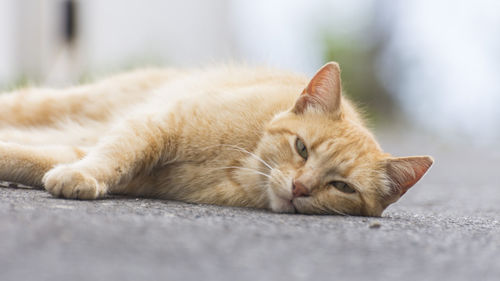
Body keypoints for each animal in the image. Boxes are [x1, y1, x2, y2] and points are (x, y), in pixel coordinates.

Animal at [0, 61, 430, 214]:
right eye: (302, 148)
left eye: (342, 186)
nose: (300, 188)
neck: (238, 165)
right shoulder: (154, 125)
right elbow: (114, 156)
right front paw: (81, 176)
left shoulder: (99, 153)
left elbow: (30, 158)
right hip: (61, 104)